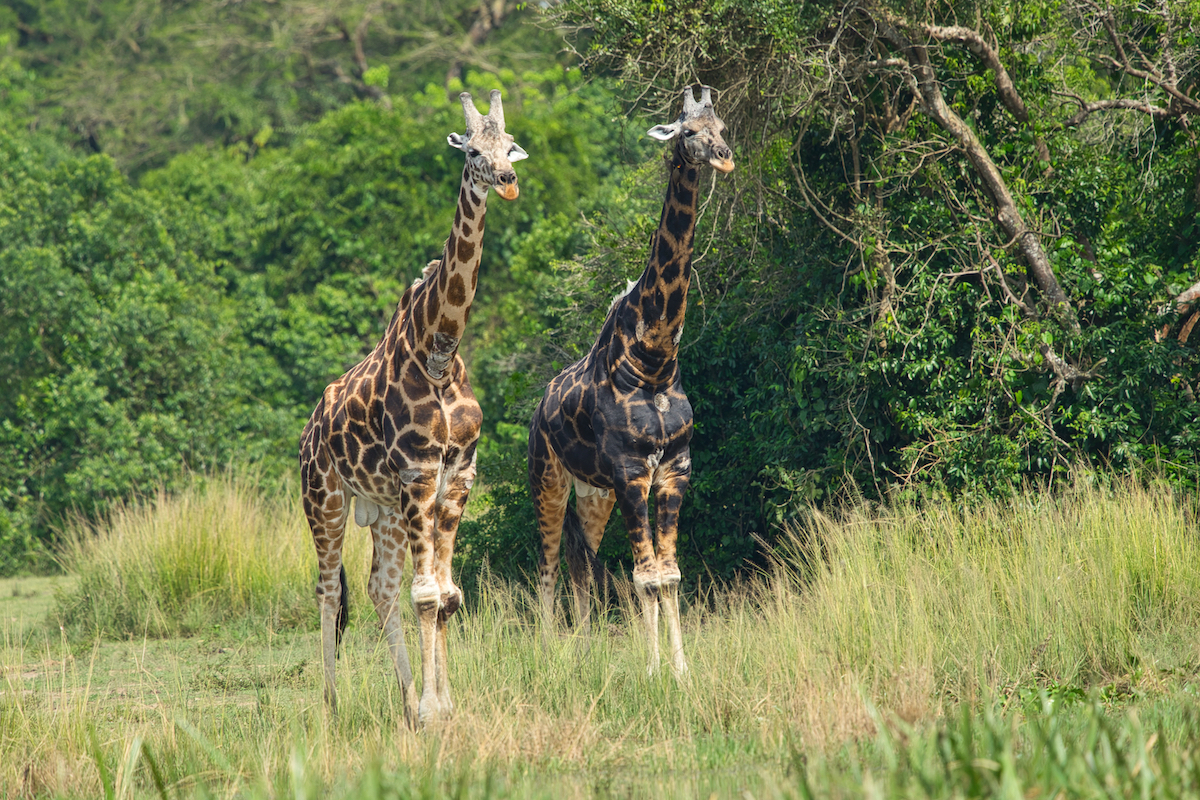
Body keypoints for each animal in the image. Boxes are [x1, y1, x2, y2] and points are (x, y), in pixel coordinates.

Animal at [299, 89, 527, 726]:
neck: (439, 351)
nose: (506, 180)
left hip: (385, 510)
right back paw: (331, 704)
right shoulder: (419, 471)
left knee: (379, 587)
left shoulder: (458, 474)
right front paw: (430, 711)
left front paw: (440, 705)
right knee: (329, 589)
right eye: (472, 150)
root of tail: (307, 430)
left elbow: (445, 596)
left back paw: (401, 697)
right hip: (325, 498)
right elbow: (427, 596)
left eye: (509, 146)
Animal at [527, 86, 734, 677]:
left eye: (722, 127)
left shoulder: (674, 469)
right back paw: (549, 655)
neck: (655, 356)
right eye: (688, 132)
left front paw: (681, 671)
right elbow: (645, 576)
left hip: (593, 493)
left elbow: (670, 574)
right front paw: (652, 671)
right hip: (547, 478)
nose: (723, 156)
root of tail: (538, 407)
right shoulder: (630, 470)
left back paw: (584, 649)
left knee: (581, 561)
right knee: (548, 564)